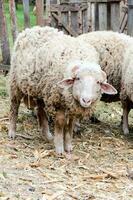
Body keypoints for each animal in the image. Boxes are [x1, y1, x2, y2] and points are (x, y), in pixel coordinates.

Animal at [8, 26, 116, 154]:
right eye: (77, 78)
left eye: (98, 82)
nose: (86, 100)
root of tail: (33, 28)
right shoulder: (58, 101)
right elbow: (60, 124)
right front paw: (59, 148)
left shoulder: (72, 106)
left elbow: (70, 127)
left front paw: (68, 146)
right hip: (15, 82)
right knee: (14, 106)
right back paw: (12, 132)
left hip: (41, 88)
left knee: (40, 110)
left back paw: (47, 135)